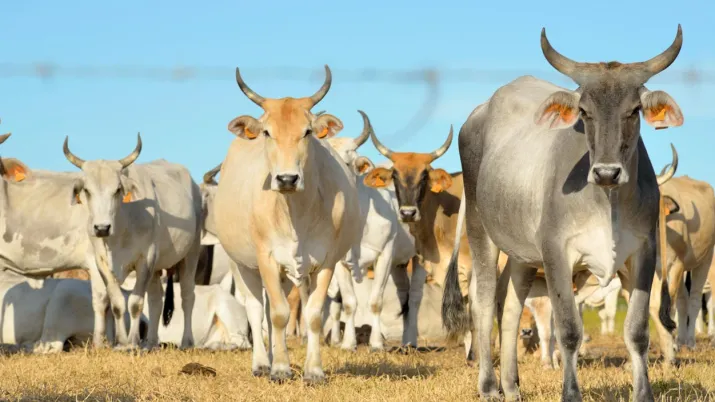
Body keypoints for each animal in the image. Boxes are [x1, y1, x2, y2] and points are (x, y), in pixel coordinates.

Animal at [62, 135, 203, 350]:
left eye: (118, 189)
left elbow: (135, 303)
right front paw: (121, 342)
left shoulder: (146, 258)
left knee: (187, 296)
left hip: (190, 253)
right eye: (87, 190)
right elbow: (118, 303)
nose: (102, 228)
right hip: (157, 267)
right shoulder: (102, 262)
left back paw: (186, 342)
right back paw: (151, 343)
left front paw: (133, 342)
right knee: (156, 299)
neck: (122, 228)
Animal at [212, 65, 361, 383]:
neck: (294, 213)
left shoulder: (326, 261)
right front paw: (280, 368)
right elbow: (278, 313)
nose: (287, 179)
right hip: (241, 264)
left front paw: (313, 370)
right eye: (267, 132)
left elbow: (313, 314)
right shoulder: (266, 258)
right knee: (257, 310)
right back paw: (261, 363)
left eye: (307, 131)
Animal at [324, 111, 417, 351]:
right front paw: (348, 343)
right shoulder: (339, 263)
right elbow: (348, 303)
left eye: (347, 163)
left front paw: (376, 343)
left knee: (412, 299)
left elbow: (376, 301)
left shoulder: (385, 256)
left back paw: (410, 341)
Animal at [441, 25, 684, 401]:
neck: (607, 202)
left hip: (522, 253)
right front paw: (570, 392)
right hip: (481, 230)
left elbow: (637, 331)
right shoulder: (556, 253)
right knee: (482, 301)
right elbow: (569, 329)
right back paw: (489, 386)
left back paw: (511, 385)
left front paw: (643, 393)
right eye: (584, 111)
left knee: (509, 306)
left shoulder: (643, 254)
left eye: (634, 110)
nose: (607, 172)